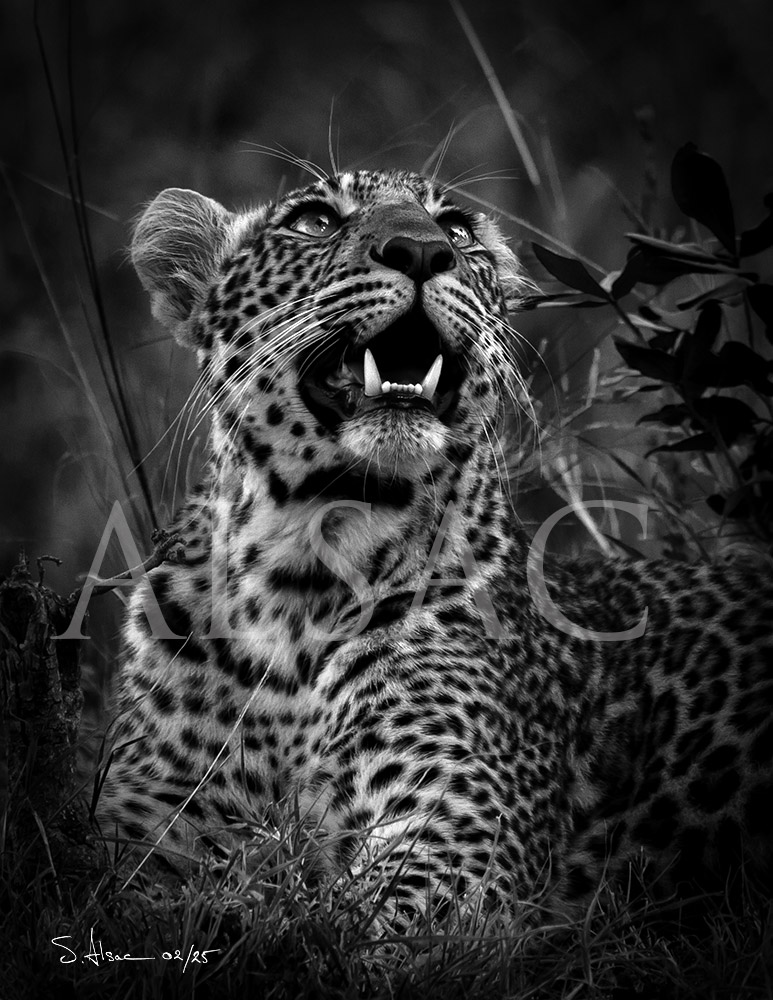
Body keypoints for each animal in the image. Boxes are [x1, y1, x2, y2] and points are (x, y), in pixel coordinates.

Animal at [97, 165, 773, 931]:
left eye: (455, 229)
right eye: (313, 221)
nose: (421, 252)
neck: (299, 566)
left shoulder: (455, 841)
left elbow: (343, 933)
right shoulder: (144, 829)